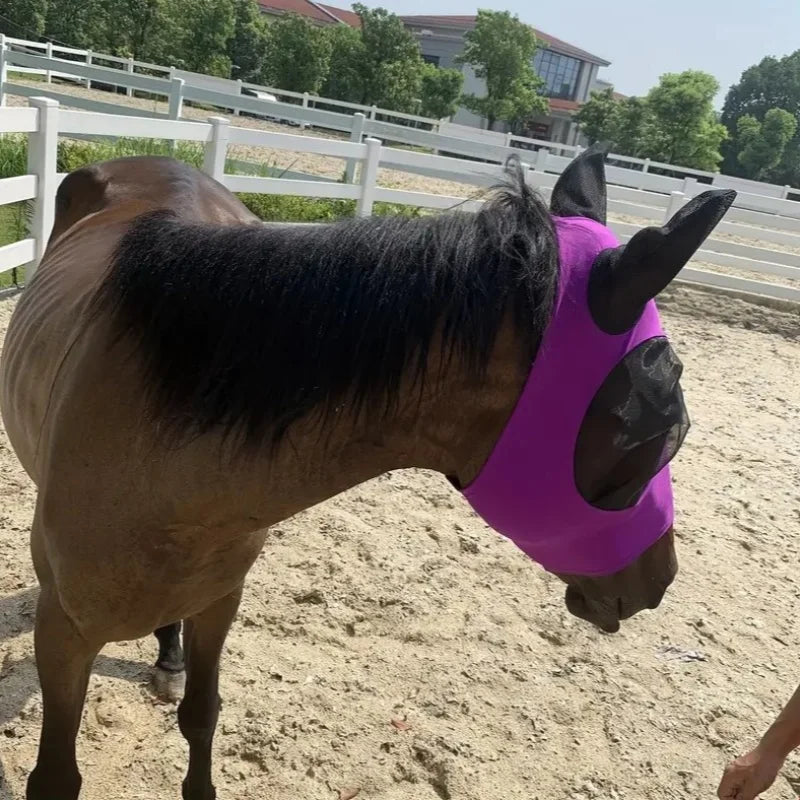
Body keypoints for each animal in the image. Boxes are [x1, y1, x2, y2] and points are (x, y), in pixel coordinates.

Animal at [0, 145, 735, 800]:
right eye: (659, 425)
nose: (660, 579)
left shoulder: (219, 600)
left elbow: (202, 716)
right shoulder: (63, 636)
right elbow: (57, 777)